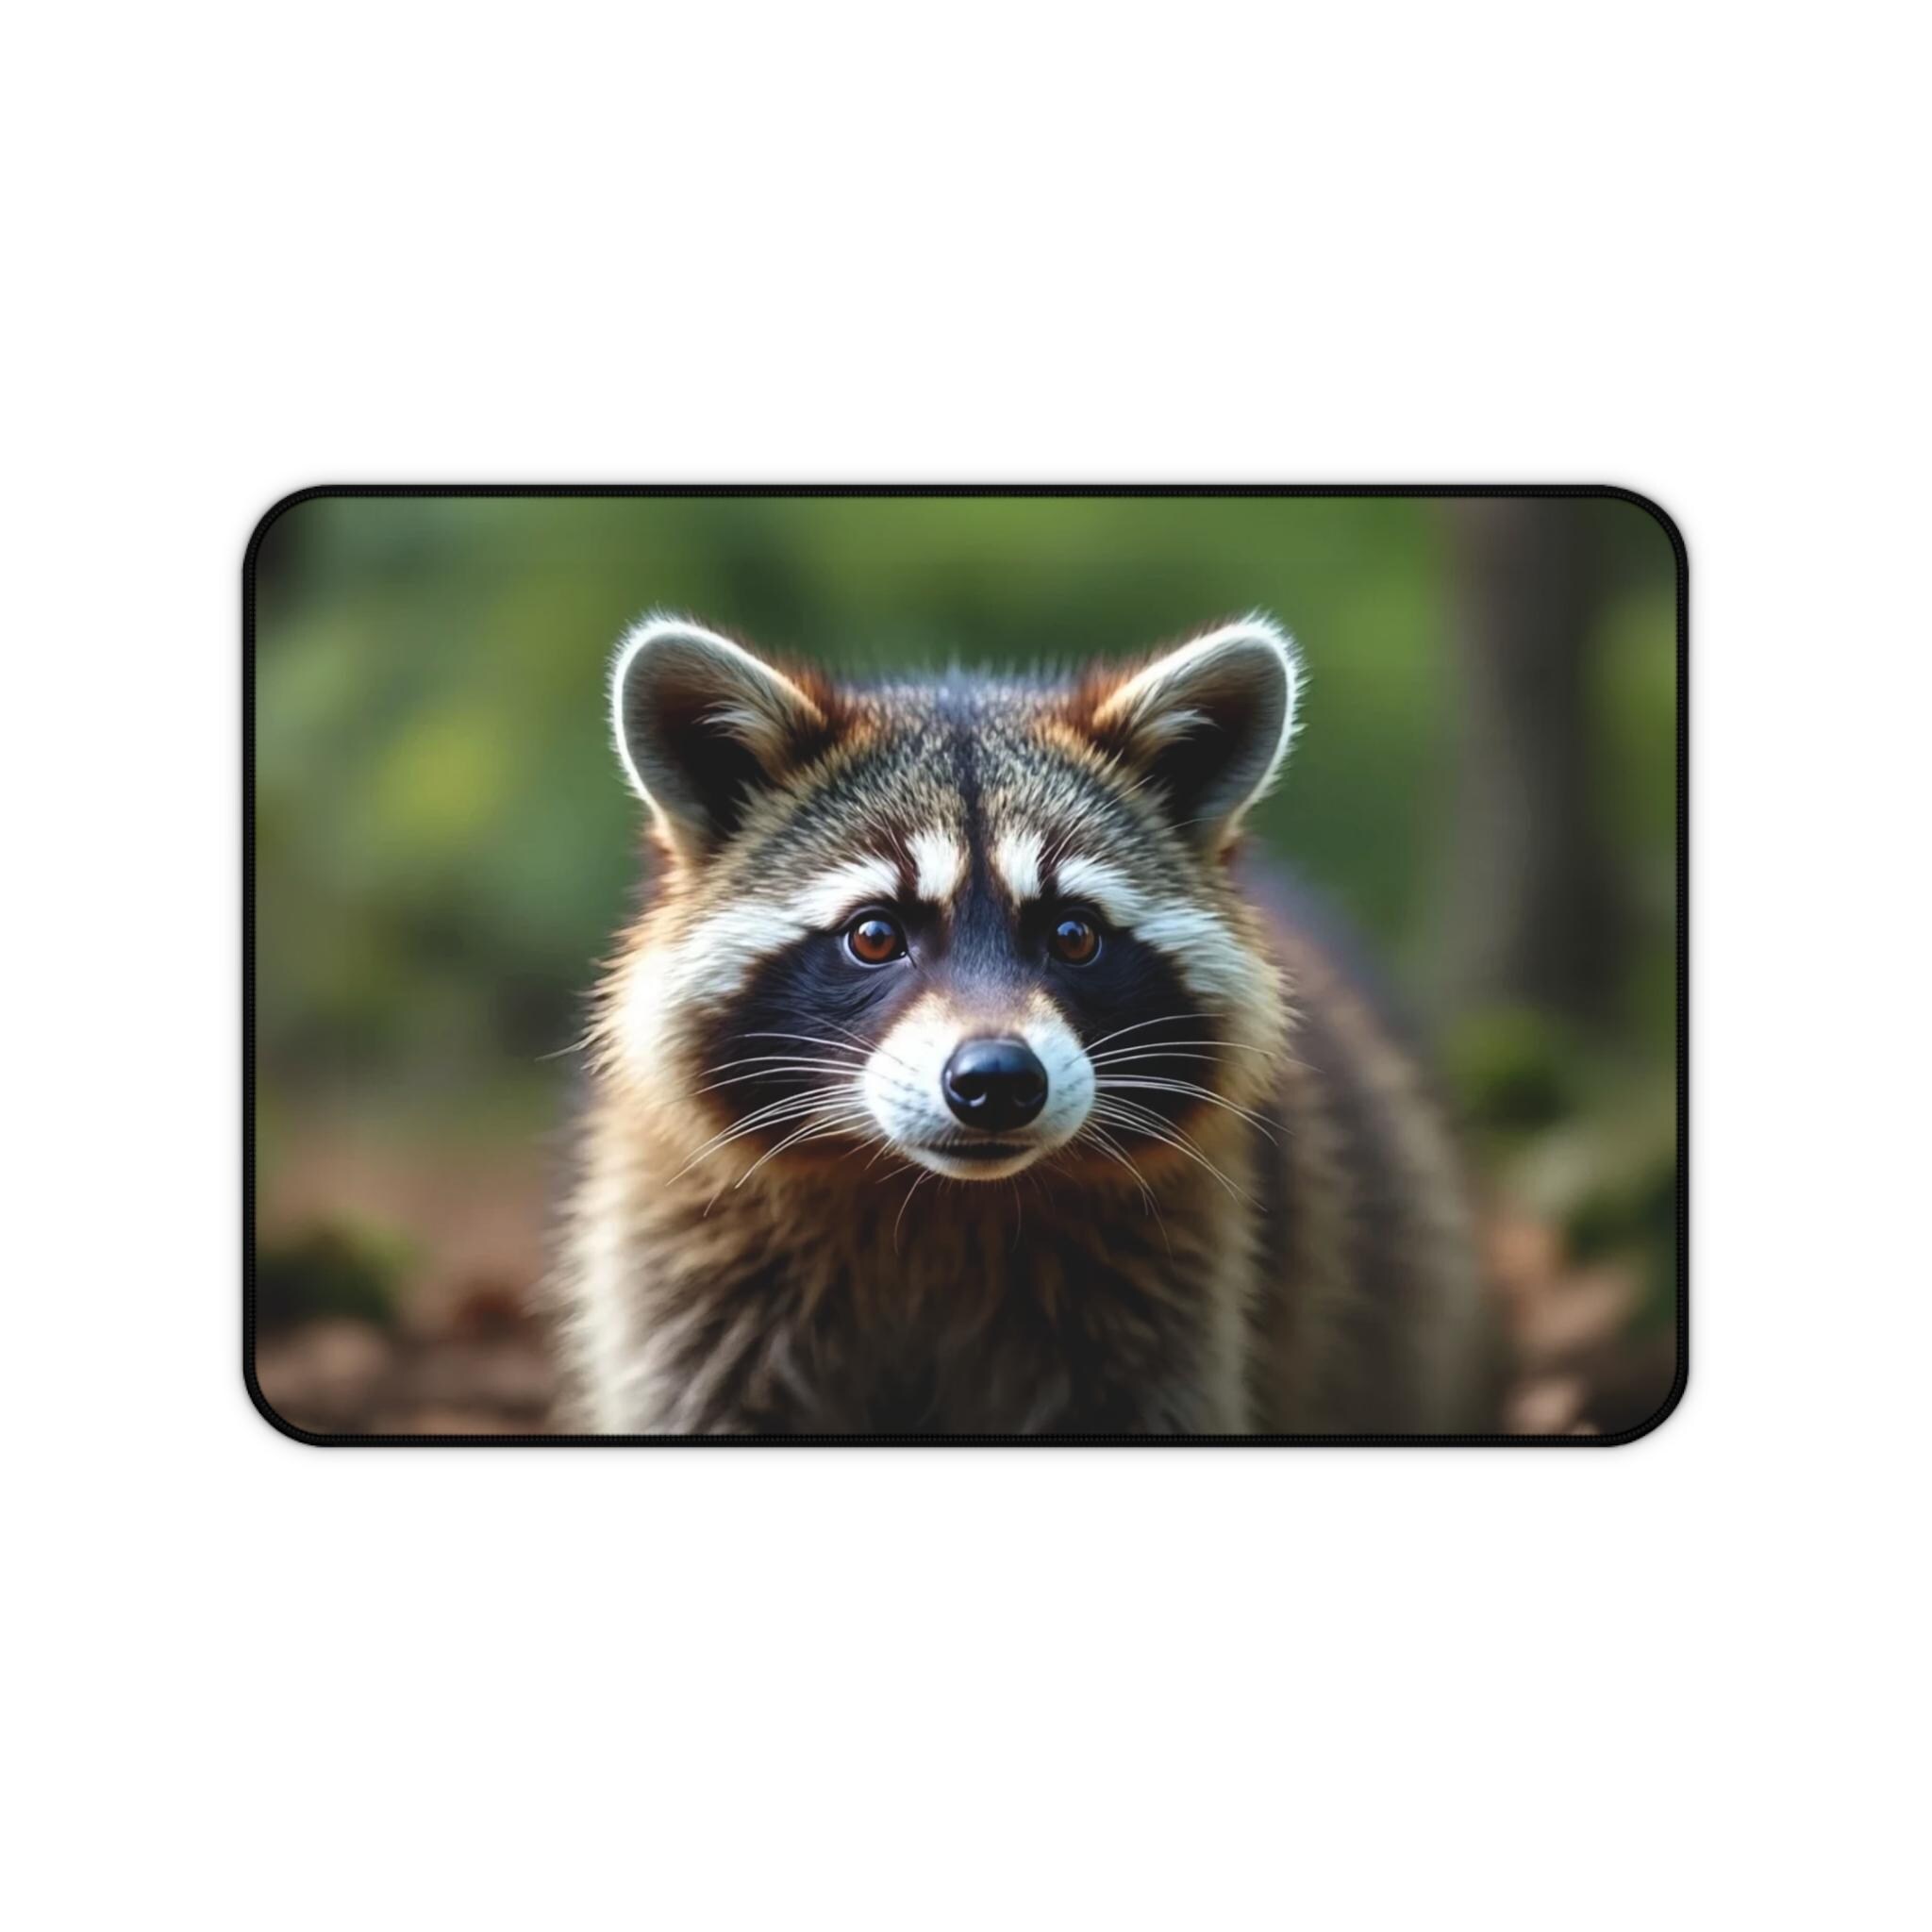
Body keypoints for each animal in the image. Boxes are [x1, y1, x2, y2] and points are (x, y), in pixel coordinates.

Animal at [552, 613, 1497, 1435]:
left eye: (1073, 935)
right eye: (874, 936)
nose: (998, 1081)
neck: (930, 1200)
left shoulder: (1163, 1294)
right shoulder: (691, 1269)